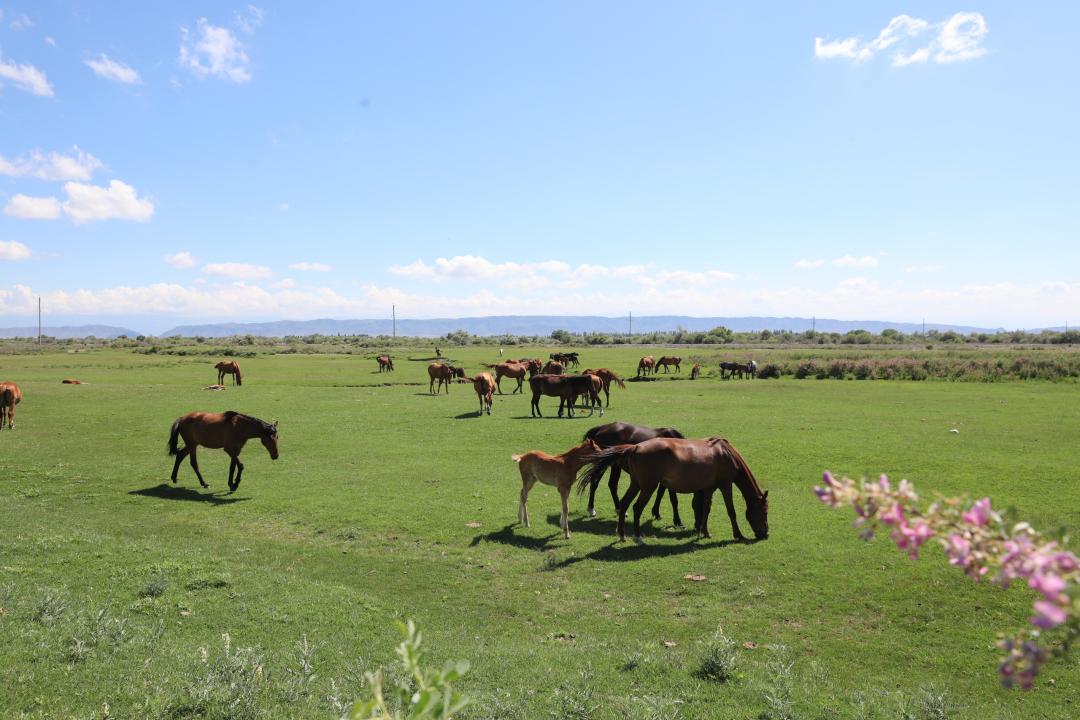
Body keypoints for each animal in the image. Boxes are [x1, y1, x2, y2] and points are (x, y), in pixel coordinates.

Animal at [574, 436, 768, 544]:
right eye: (764, 512)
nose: (765, 533)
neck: (725, 453)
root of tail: (635, 447)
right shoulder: (725, 485)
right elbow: (731, 511)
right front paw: (739, 535)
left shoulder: (709, 488)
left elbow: (706, 509)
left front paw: (704, 532)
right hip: (648, 487)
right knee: (637, 508)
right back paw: (638, 537)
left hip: (636, 484)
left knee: (624, 503)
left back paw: (622, 535)